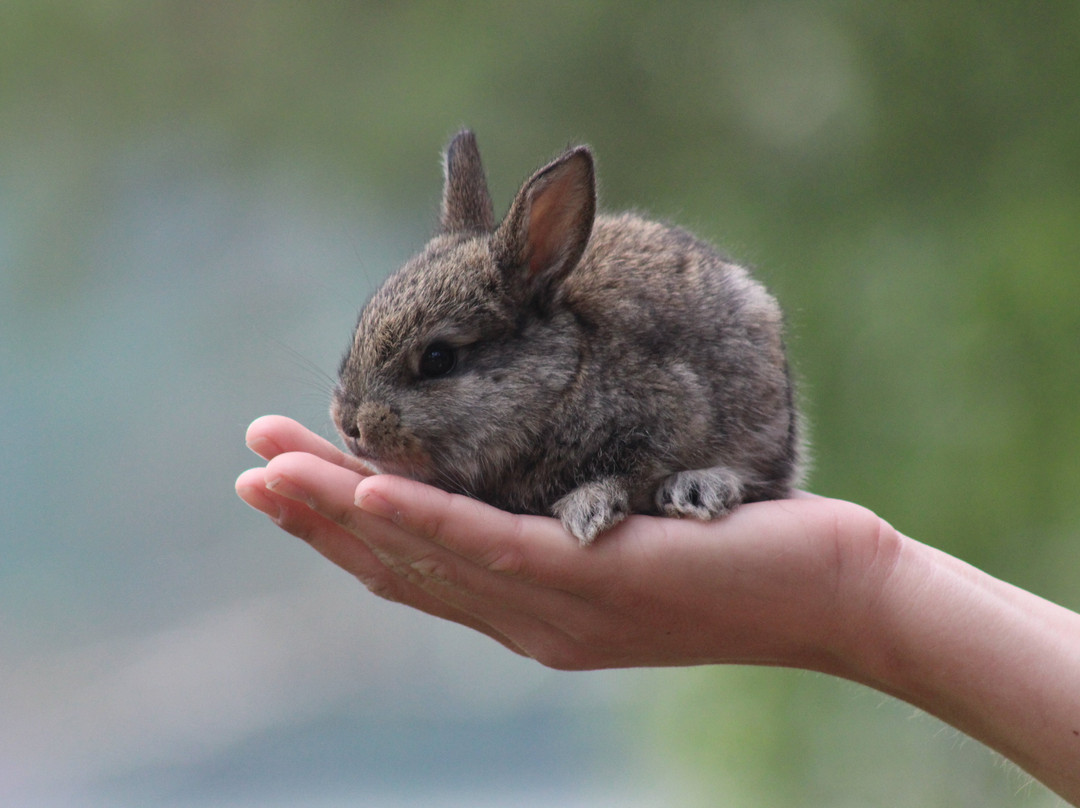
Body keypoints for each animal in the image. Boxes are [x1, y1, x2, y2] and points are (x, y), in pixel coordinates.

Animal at [334, 129, 803, 546]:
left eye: (437, 359)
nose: (349, 425)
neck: (562, 382)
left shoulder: (670, 415)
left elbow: (626, 473)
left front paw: (589, 510)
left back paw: (699, 489)